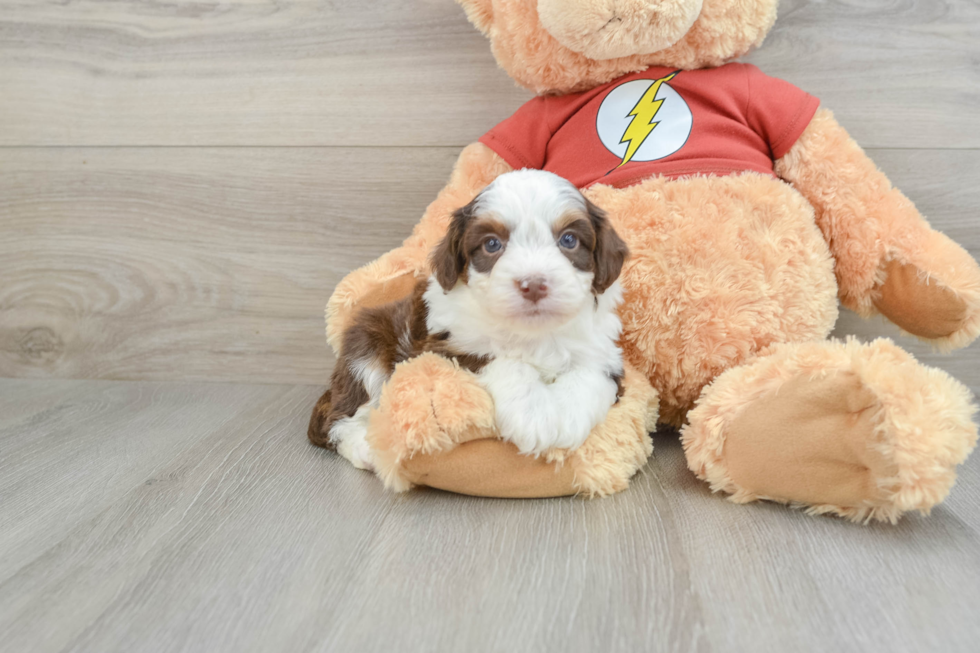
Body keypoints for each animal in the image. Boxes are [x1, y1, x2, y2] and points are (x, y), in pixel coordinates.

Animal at [306, 171, 628, 472]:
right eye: (492, 244)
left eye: (569, 240)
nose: (534, 285)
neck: (532, 332)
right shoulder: (443, 346)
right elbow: (504, 361)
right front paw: (534, 416)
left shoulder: (604, 352)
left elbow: (590, 375)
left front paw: (566, 419)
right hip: (366, 344)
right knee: (340, 416)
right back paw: (365, 447)